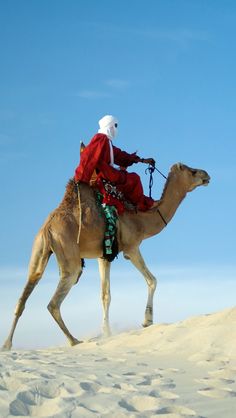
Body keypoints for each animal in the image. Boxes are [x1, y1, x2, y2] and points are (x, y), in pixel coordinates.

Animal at [2, 162, 210, 350]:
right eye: (192, 171)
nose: (206, 175)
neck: (143, 219)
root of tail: (48, 228)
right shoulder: (131, 247)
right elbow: (152, 280)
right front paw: (147, 321)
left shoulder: (104, 255)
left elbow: (105, 294)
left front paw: (106, 332)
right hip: (69, 255)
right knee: (53, 303)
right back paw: (74, 340)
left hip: (39, 250)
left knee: (24, 295)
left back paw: (7, 344)